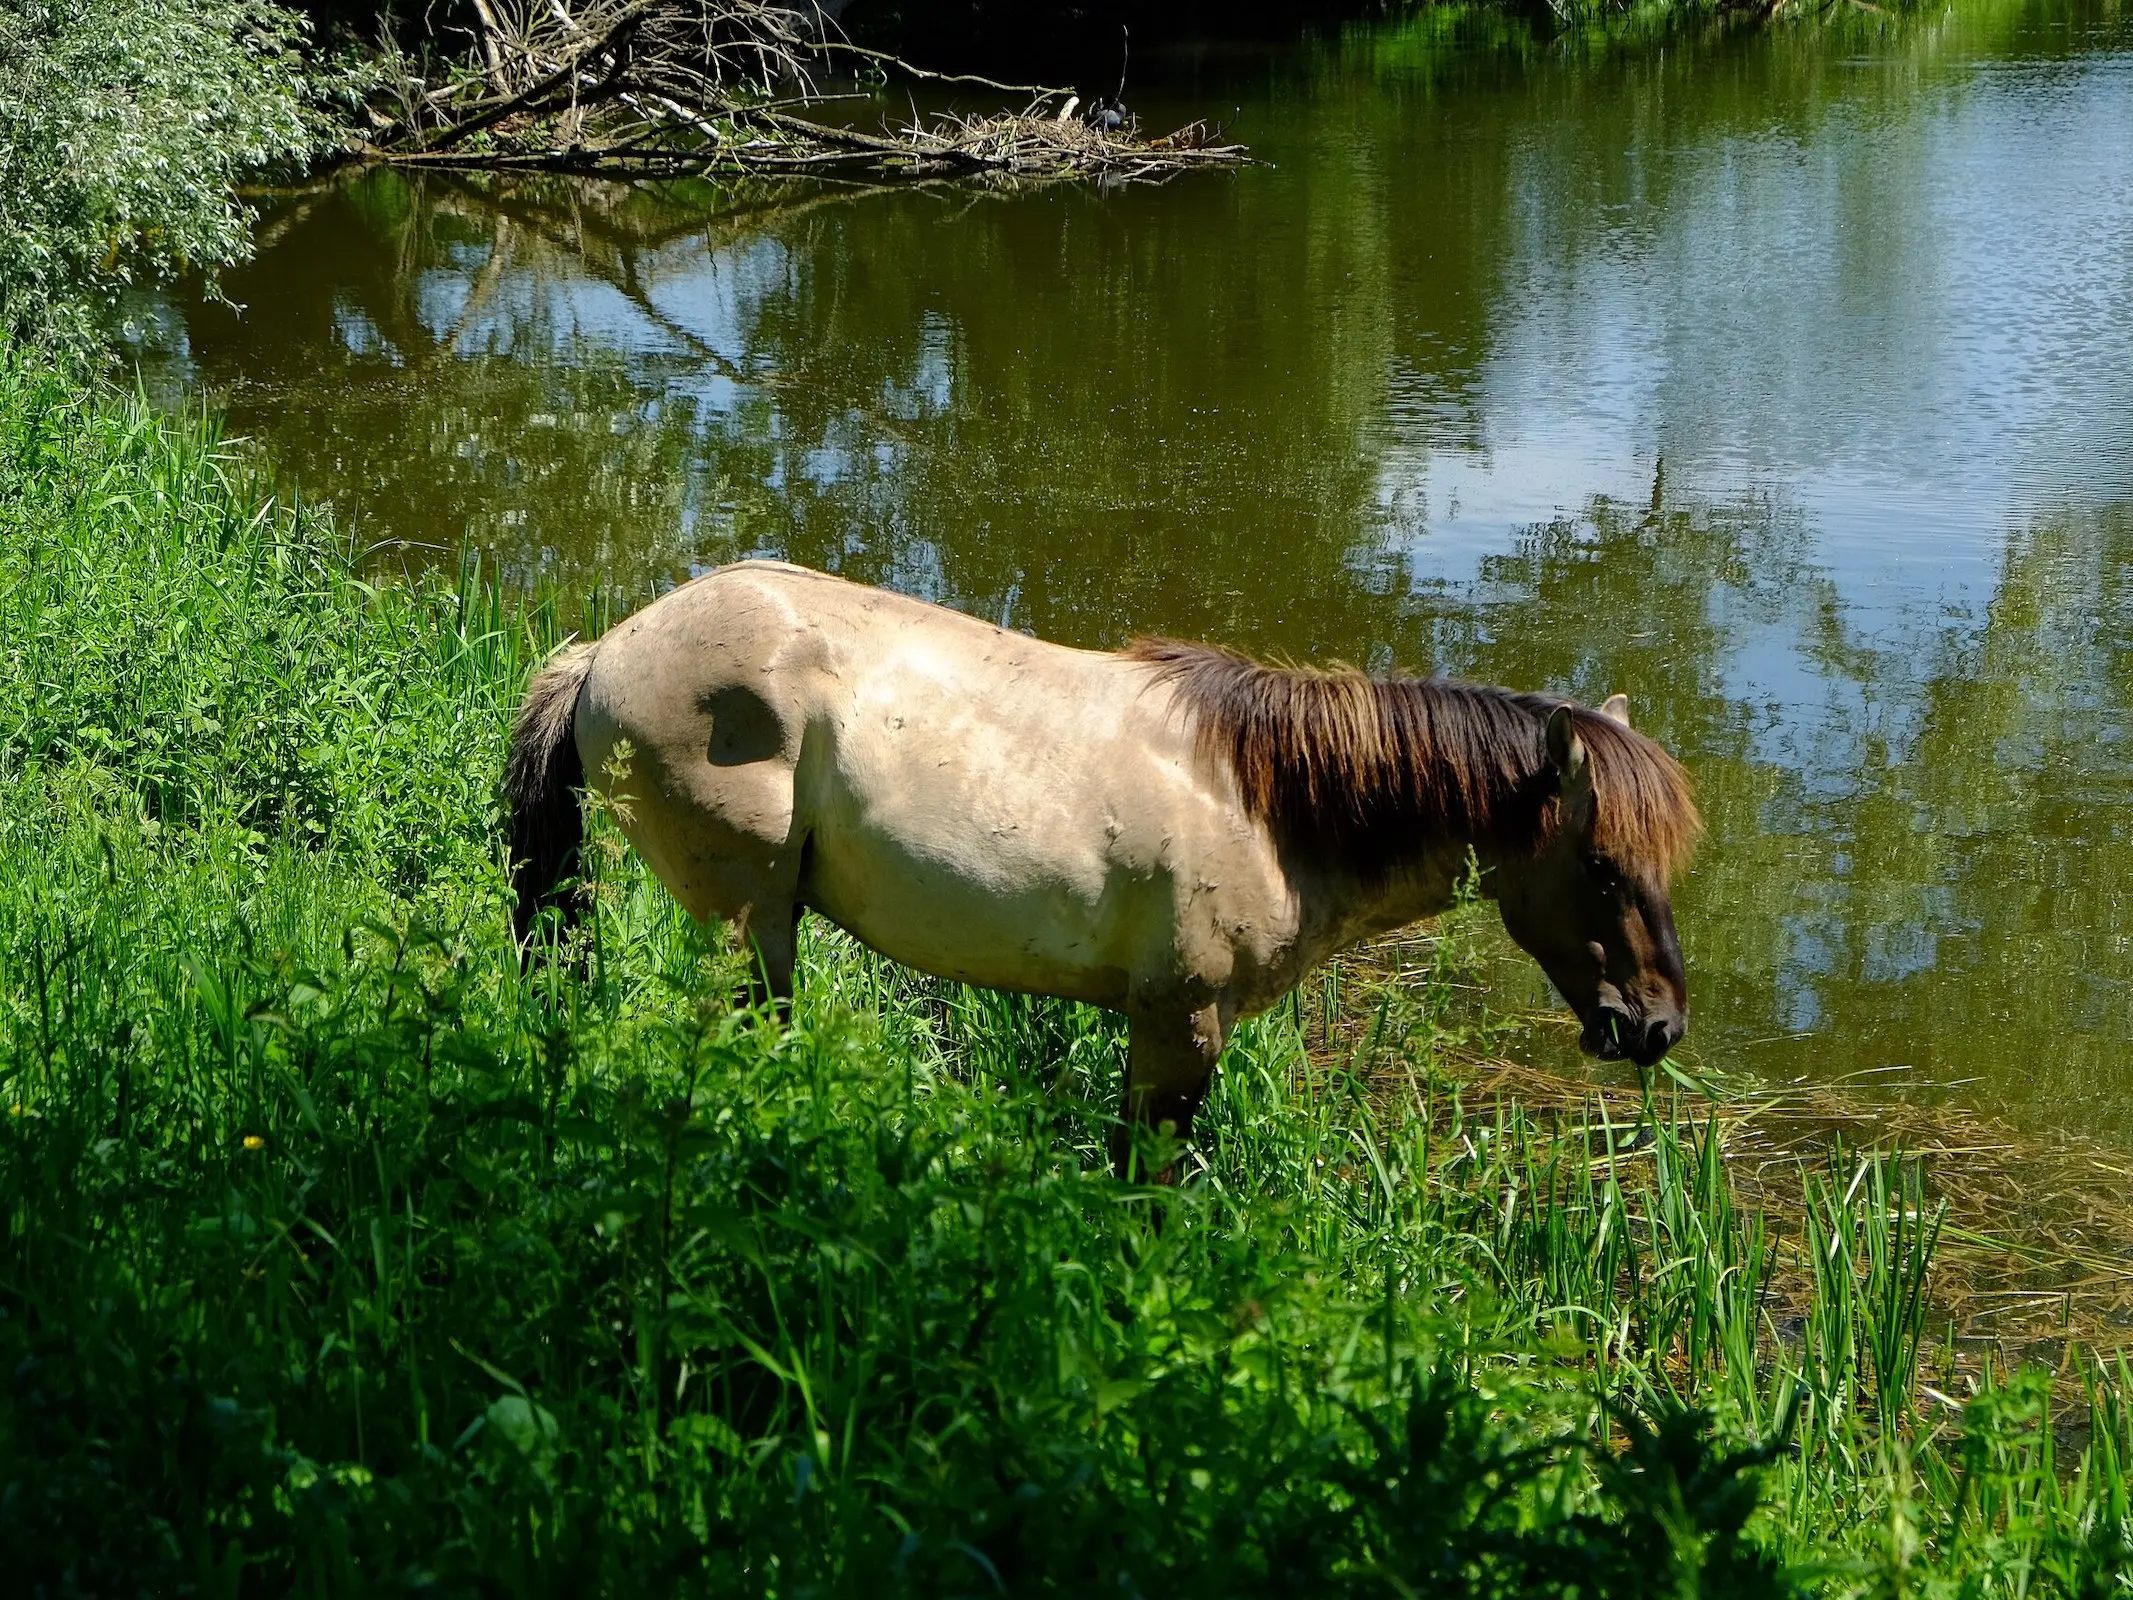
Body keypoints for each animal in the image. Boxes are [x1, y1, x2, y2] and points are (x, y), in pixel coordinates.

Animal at [503, 558, 1697, 1177]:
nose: (1653, 1026)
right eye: (1601, 865)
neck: (1271, 807)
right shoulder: (1181, 1026)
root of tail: (606, 651)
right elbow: (1148, 1180)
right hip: (752, 923)